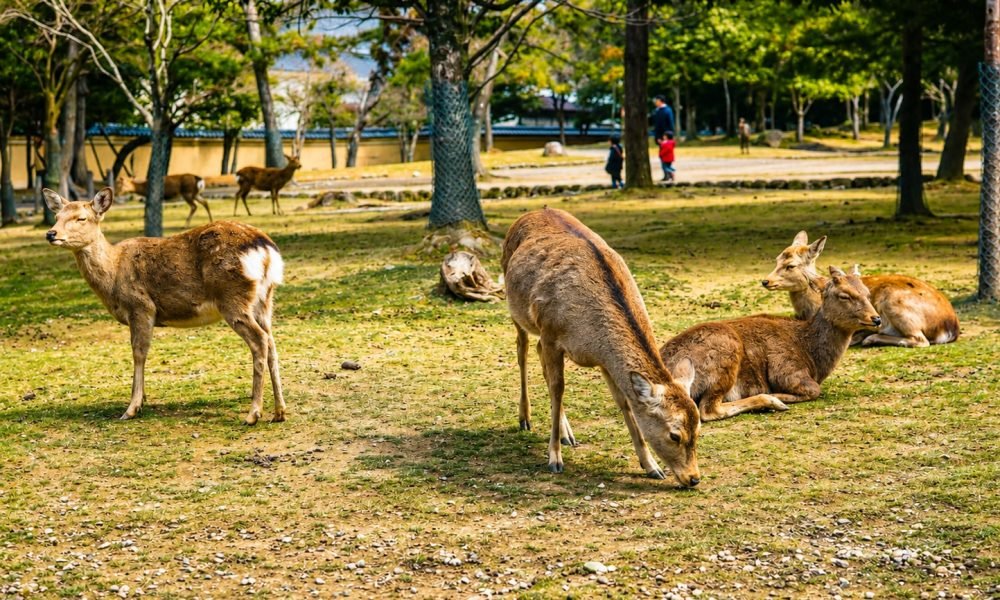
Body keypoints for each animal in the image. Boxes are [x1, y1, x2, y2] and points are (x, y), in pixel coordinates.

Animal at [43, 187, 286, 425]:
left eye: (81, 218)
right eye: (56, 216)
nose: (51, 233)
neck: (113, 272)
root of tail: (266, 250)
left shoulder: (141, 306)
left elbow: (139, 352)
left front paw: (132, 408)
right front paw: (142, 400)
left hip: (232, 296)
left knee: (260, 340)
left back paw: (253, 414)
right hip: (265, 299)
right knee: (272, 342)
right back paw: (279, 412)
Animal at [502, 208, 701, 487]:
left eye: (698, 428)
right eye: (675, 435)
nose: (694, 478)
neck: (591, 335)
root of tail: (531, 212)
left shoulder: (604, 360)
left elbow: (624, 401)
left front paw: (651, 466)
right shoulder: (552, 332)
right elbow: (558, 388)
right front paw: (554, 459)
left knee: (539, 354)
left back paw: (567, 433)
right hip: (517, 309)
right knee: (523, 349)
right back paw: (525, 419)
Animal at [660, 266, 881, 422]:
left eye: (867, 292)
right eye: (844, 295)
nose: (876, 318)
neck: (812, 354)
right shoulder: (786, 370)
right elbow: (814, 390)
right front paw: (777, 395)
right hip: (726, 353)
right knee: (708, 409)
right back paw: (771, 401)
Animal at [761, 231, 960, 347]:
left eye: (791, 265)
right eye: (777, 259)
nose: (765, 281)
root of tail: (950, 327)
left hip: (894, 302)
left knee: (921, 340)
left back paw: (871, 338)